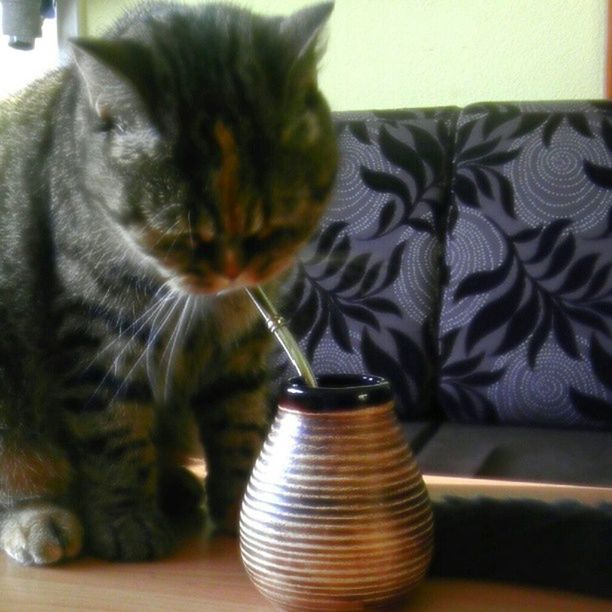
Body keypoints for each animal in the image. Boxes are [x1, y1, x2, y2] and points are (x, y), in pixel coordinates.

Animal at [0, 1, 338, 564]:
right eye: (178, 234)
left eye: (273, 226)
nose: (233, 271)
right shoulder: (99, 337)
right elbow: (113, 432)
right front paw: (127, 522)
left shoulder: (243, 343)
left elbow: (238, 423)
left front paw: (242, 507)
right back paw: (39, 520)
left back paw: (175, 484)